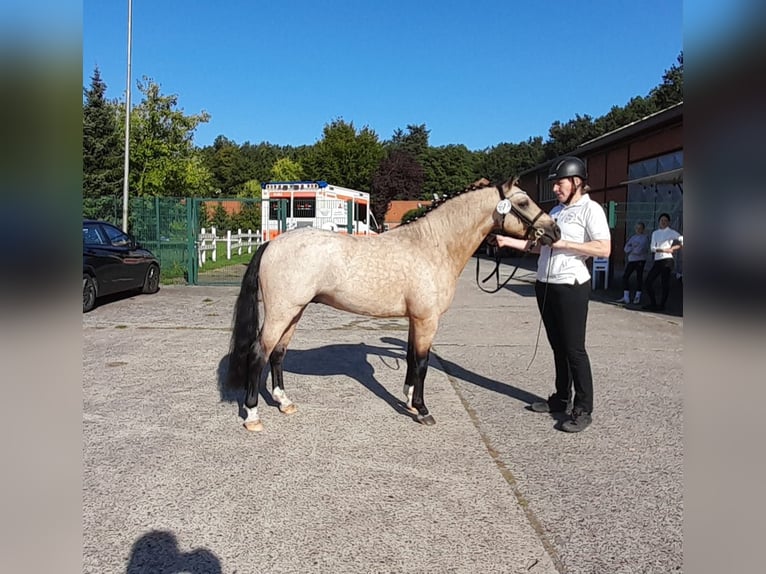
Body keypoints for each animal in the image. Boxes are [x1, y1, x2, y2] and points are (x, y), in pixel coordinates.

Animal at [225, 179, 560, 432]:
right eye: (524, 202)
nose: (554, 231)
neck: (432, 246)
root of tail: (271, 243)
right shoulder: (427, 320)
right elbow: (423, 363)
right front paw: (423, 410)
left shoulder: (415, 319)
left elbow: (412, 358)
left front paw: (409, 400)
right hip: (281, 313)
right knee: (258, 354)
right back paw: (253, 416)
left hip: (294, 312)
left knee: (278, 354)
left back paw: (284, 403)